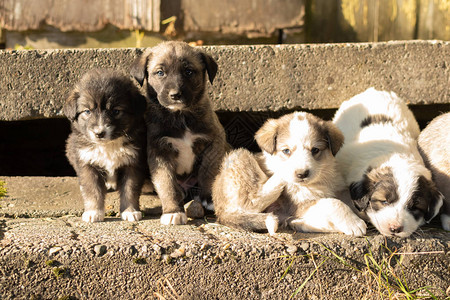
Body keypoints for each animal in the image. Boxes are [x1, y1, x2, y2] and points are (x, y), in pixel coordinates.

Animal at [64, 68, 146, 223]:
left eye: (115, 111)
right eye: (87, 111)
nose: (99, 133)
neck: (108, 146)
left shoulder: (132, 164)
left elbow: (130, 190)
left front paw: (130, 211)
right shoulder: (87, 163)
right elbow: (92, 190)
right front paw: (93, 212)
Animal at [130, 40, 229, 225]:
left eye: (188, 71)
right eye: (160, 72)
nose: (175, 95)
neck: (180, 115)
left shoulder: (215, 140)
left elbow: (208, 170)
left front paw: (208, 198)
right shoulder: (159, 152)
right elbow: (167, 184)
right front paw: (173, 211)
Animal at [213, 111, 368, 236]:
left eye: (315, 150)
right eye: (286, 150)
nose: (302, 174)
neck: (319, 180)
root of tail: (219, 212)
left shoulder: (338, 189)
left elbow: (346, 199)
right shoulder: (298, 205)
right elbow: (333, 202)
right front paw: (354, 223)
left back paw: (299, 223)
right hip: (240, 156)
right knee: (253, 201)